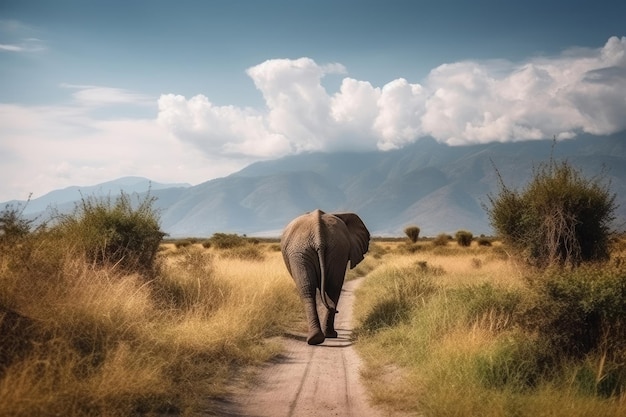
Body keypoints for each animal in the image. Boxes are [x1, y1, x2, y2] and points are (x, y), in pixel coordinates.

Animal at [280, 208, 368, 344]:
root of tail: (318, 234)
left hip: (309, 251)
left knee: (314, 289)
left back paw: (322, 337)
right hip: (318, 251)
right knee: (326, 288)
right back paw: (320, 337)